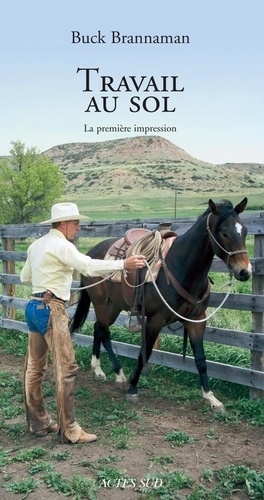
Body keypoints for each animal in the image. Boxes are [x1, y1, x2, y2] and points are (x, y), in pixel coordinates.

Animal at [69, 197, 252, 412]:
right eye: (224, 232)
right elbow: (145, 352)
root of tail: (91, 252)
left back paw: (98, 369)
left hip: (113, 305)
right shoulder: (156, 320)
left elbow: (200, 359)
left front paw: (211, 398)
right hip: (99, 302)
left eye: (245, 231)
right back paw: (119, 375)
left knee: (98, 328)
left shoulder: (197, 320)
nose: (245, 271)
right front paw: (132, 388)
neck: (181, 267)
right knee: (104, 332)